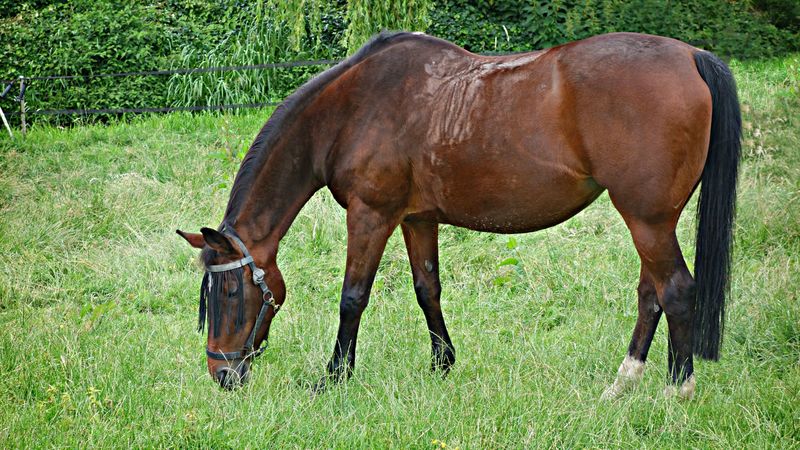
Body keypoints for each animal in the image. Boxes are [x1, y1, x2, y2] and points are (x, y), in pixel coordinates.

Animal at [177, 31, 740, 397]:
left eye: (230, 291)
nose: (221, 375)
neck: (351, 109)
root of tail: (691, 55)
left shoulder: (371, 215)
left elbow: (352, 298)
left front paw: (334, 377)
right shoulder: (416, 218)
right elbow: (427, 289)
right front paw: (442, 365)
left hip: (647, 219)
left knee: (676, 290)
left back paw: (677, 390)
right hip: (653, 221)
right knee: (652, 294)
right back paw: (624, 383)